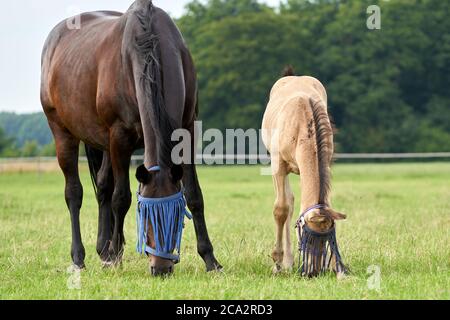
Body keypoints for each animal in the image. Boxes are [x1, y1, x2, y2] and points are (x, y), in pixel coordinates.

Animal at [40, 0, 221, 276]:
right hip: (63, 132)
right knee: (74, 193)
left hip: (103, 143)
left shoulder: (187, 130)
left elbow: (194, 195)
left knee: (103, 186)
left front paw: (210, 259)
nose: (161, 269)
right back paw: (80, 258)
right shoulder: (119, 137)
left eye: (177, 216)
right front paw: (115, 258)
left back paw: (103, 249)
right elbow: (121, 198)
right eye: (145, 216)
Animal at [262, 68, 346, 278]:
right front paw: (277, 262)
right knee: (287, 203)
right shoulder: (278, 164)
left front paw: (337, 267)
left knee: (292, 201)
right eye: (307, 236)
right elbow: (280, 209)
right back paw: (286, 262)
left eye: (328, 239)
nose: (313, 272)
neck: (301, 124)